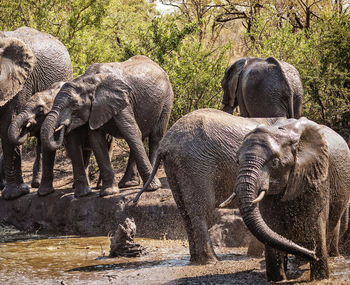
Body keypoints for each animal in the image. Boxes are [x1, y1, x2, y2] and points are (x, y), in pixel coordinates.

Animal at [40, 55, 174, 197]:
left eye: (74, 105)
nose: (63, 125)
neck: (87, 81)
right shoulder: (96, 109)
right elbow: (96, 140)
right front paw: (109, 192)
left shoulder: (121, 100)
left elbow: (130, 131)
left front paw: (153, 188)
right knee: (141, 137)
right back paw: (127, 183)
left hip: (167, 99)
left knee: (155, 137)